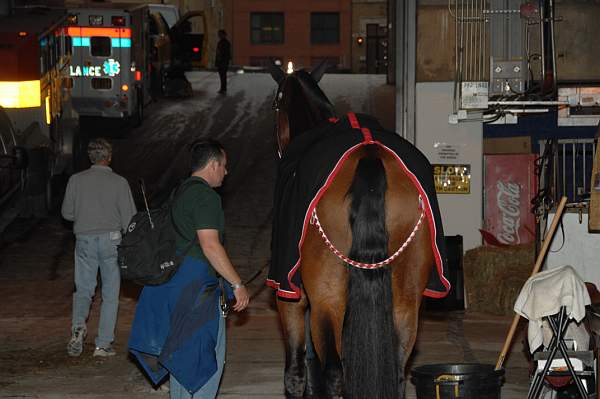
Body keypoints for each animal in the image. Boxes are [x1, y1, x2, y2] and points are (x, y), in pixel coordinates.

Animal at [268, 63, 450, 399]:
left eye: (276, 104)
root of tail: (369, 155)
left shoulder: (291, 298)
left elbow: (297, 374)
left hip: (328, 299)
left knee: (333, 373)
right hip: (405, 303)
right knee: (396, 372)